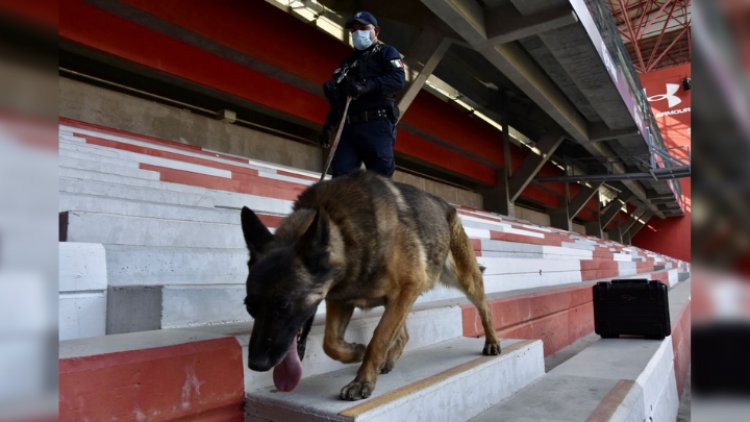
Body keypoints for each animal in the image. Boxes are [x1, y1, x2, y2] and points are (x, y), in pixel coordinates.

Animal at [241, 170, 500, 400]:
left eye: (284, 305)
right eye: (249, 307)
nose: (255, 364)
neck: (342, 231)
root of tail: (446, 205)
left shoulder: (407, 288)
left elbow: (378, 339)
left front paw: (362, 381)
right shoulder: (341, 300)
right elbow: (330, 343)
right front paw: (356, 352)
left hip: (464, 279)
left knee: (485, 309)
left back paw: (492, 342)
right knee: (402, 333)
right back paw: (388, 360)